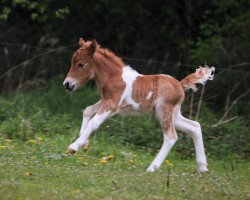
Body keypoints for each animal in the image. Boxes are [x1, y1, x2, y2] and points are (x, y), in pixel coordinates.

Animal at [63, 38, 215, 173]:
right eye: (72, 62)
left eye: (81, 64)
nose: (67, 84)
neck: (114, 76)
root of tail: (180, 84)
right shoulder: (107, 100)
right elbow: (87, 111)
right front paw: (85, 144)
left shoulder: (112, 104)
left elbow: (94, 122)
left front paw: (74, 147)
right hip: (172, 114)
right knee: (194, 127)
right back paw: (203, 167)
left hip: (164, 111)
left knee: (171, 136)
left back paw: (152, 167)